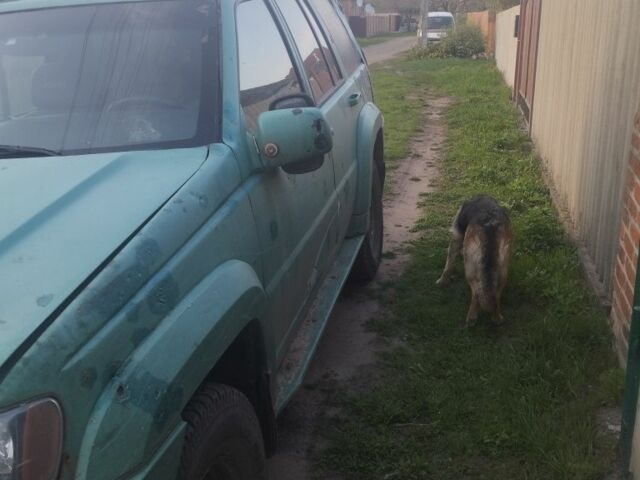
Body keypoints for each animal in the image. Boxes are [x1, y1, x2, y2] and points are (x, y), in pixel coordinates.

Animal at [436, 195, 516, 326]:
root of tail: (490, 225)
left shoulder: (456, 238)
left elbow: (448, 265)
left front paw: (441, 281)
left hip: (470, 269)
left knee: (476, 292)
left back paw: (471, 318)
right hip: (502, 268)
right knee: (495, 294)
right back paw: (497, 318)